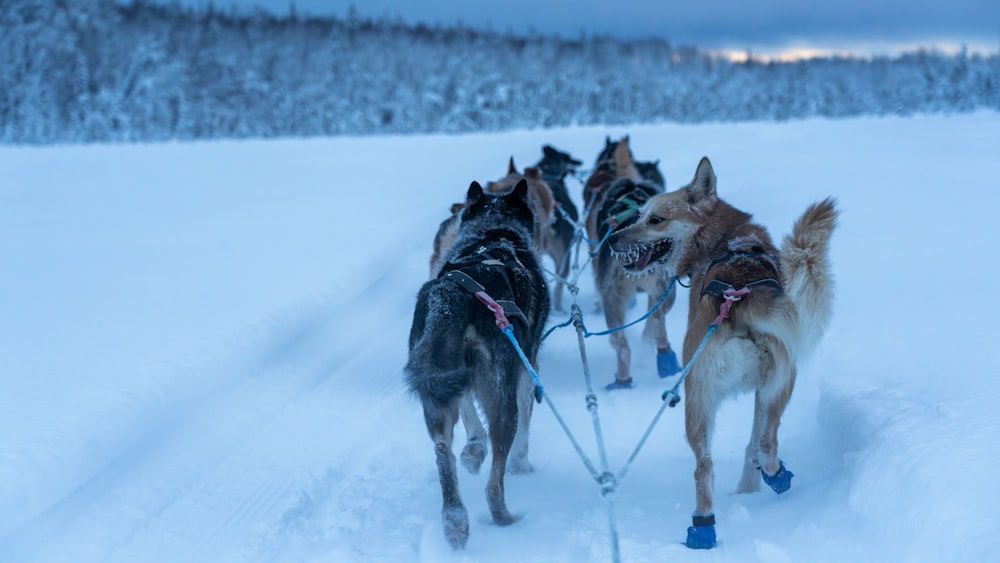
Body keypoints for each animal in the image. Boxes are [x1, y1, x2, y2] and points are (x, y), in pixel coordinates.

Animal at [402, 178, 552, 548]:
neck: (494, 234)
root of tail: (455, 297)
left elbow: (470, 417)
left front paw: (473, 451)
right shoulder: (526, 368)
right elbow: (525, 425)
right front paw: (521, 464)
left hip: (436, 389)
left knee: (444, 453)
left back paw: (455, 520)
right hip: (501, 397)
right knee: (494, 481)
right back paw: (505, 517)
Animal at [608, 158, 836, 552]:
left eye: (655, 219)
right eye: (640, 215)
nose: (612, 239)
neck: (724, 240)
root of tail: (737, 297)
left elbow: (750, 446)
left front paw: (746, 491)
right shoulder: (768, 389)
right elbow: (754, 444)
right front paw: (750, 489)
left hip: (705, 399)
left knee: (712, 464)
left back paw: (704, 527)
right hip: (759, 388)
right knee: (760, 448)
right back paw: (761, 490)